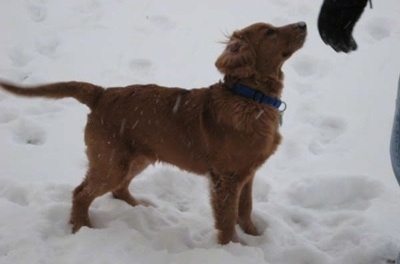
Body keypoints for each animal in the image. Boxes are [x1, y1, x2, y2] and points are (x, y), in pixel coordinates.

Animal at [0, 21, 306, 244]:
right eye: (269, 32)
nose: (304, 24)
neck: (251, 98)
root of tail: (101, 93)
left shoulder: (247, 173)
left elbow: (246, 209)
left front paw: (255, 236)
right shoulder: (226, 178)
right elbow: (228, 218)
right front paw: (234, 248)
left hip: (137, 158)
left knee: (118, 190)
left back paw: (140, 207)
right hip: (111, 162)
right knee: (81, 192)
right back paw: (82, 227)